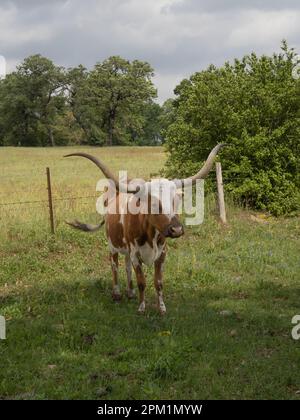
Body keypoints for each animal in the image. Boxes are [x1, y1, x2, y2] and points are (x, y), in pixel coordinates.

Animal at [66, 145, 225, 316]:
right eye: (153, 203)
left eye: (176, 200)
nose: (176, 230)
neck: (151, 235)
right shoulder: (135, 254)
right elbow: (141, 281)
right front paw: (142, 308)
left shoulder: (161, 254)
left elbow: (158, 282)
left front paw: (161, 308)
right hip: (112, 244)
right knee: (114, 264)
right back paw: (116, 293)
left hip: (126, 248)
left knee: (126, 266)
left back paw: (130, 292)